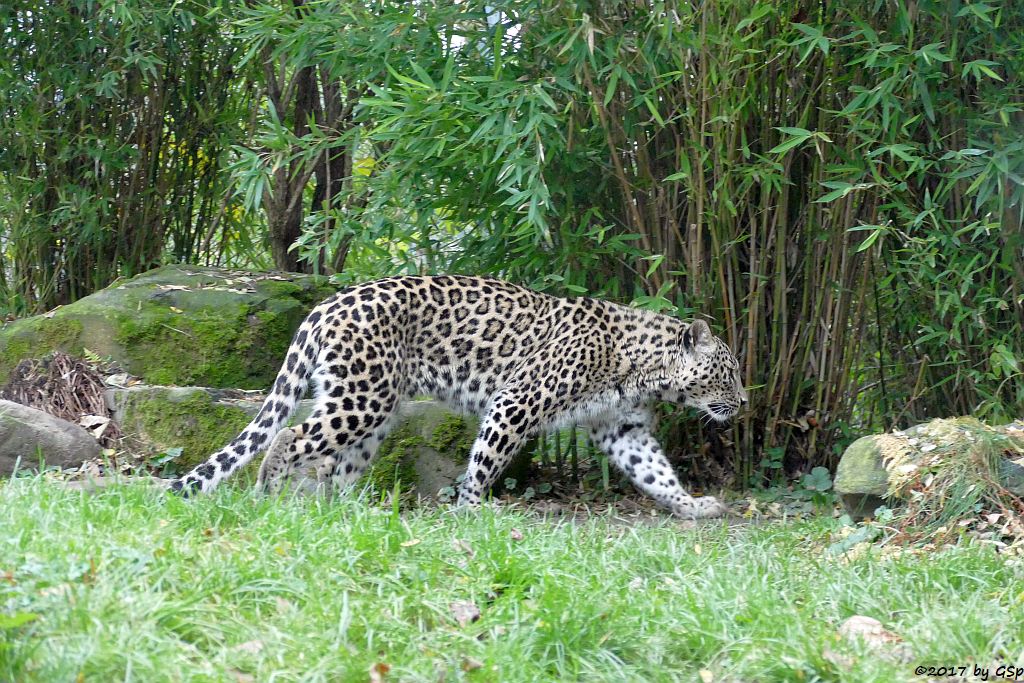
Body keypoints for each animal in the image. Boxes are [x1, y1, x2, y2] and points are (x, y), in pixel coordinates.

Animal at [167, 274, 745, 520]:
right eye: (730, 371)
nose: (743, 404)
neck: (644, 366)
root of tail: (326, 304)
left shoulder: (623, 427)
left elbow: (656, 472)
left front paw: (693, 506)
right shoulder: (517, 402)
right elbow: (486, 460)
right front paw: (471, 511)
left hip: (371, 406)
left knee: (339, 466)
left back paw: (350, 516)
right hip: (362, 398)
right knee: (290, 435)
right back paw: (269, 493)